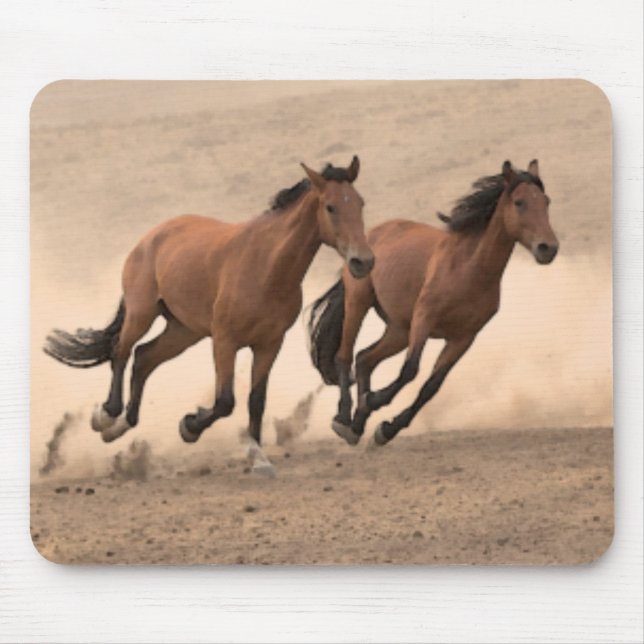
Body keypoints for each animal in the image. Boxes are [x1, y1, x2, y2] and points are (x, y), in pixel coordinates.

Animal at [44, 156, 374, 475]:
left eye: (360, 203)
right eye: (330, 206)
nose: (363, 261)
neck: (266, 266)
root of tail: (152, 235)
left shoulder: (269, 344)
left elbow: (257, 401)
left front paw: (258, 457)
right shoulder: (224, 341)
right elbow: (225, 401)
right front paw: (190, 425)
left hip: (183, 331)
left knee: (144, 357)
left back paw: (122, 425)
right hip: (142, 313)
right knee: (121, 352)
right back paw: (105, 416)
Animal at [307, 160, 558, 447]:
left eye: (546, 201)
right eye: (519, 202)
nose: (548, 248)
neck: (470, 269)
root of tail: (368, 236)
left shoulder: (463, 338)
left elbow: (431, 387)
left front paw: (386, 429)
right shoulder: (424, 319)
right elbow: (410, 370)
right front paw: (374, 402)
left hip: (398, 330)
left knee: (364, 359)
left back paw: (357, 425)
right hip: (359, 303)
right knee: (345, 356)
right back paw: (343, 419)